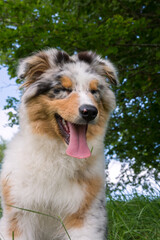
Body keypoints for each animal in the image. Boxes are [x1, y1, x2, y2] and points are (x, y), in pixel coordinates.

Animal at [0, 49, 117, 240]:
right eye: (63, 89)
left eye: (94, 91)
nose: (90, 111)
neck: (59, 154)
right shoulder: (19, 215)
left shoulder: (85, 215)